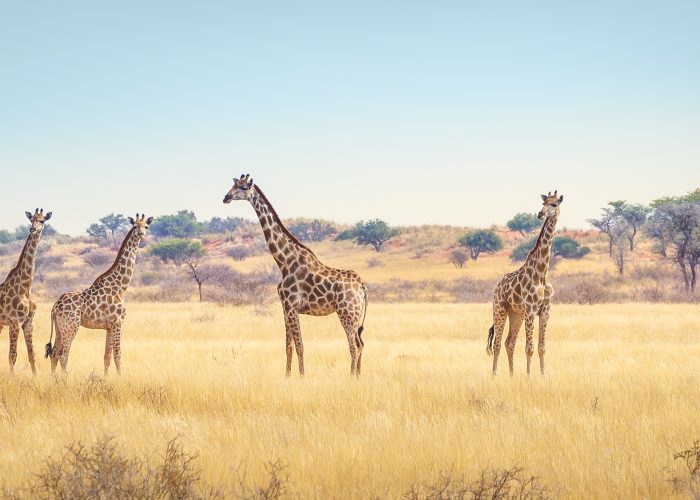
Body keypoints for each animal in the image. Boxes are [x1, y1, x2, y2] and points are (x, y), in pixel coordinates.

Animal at [0, 208, 52, 376]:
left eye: (42, 220)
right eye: (31, 219)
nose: (32, 229)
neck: (25, 288)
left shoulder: (28, 323)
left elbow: (32, 355)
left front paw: (36, 378)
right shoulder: (15, 322)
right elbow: (12, 355)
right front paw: (11, 378)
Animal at [45, 213, 153, 374]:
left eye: (146, 226)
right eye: (135, 226)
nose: (141, 234)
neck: (120, 288)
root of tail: (55, 307)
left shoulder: (109, 327)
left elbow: (106, 357)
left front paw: (106, 378)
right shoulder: (117, 323)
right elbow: (117, 356)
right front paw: (120, 378)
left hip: (59, 328)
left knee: (54, 354)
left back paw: (53, 379)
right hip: (71, 325)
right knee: (64, 354)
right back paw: (64, 379)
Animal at [224, 176, 370, 376]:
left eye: (243, 187)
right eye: (233, 185)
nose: (226, 197)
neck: (283, 260)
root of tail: (362, 287)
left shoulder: (292, 306)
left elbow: (300, 346)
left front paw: (302, 377)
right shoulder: (285, 307)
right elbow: (289, 346)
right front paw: (287, 376)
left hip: (347, 312)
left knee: (354, 346)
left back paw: (351, 377)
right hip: (355, 315)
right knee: (361, 344)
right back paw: (358, 376)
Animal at [486, 190, 564, 376]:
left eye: (554, 204)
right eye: (543, 203)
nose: (540, 214)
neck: (542, 272)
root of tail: (497, 286)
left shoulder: (545, 311)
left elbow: (541, 347)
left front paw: (542, 376)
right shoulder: (530, 310)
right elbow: (529, 348)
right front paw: (529, 377)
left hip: (516, 314)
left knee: (509, 342)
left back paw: (512, 376)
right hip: (500, 310)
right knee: (498, 344)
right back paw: (494, 376)